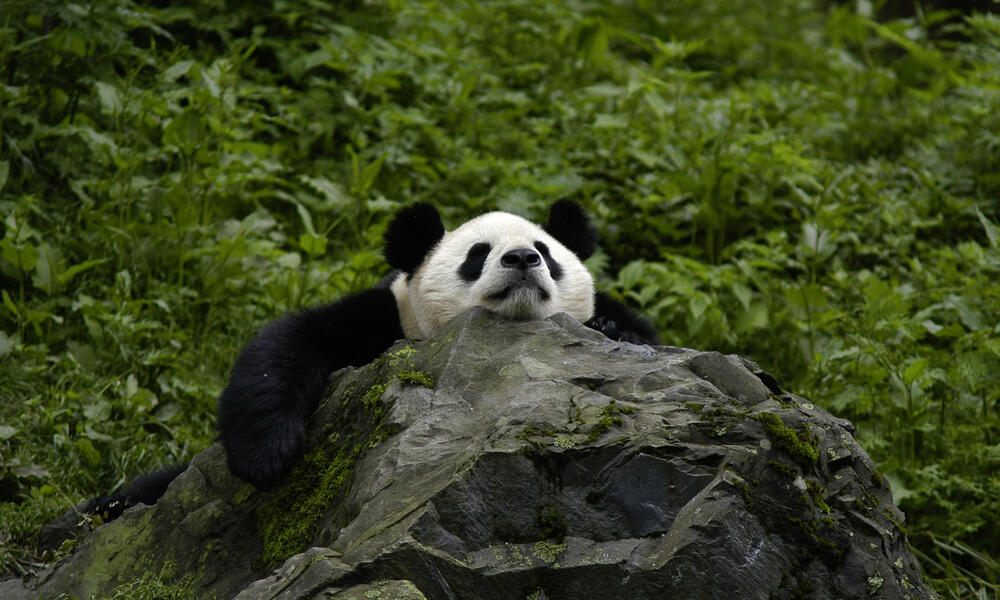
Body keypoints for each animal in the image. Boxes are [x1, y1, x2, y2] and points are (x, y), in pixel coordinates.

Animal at [84, 201, 656, 518]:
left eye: (547, 251)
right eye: (477, 255)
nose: (521, 259)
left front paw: (612, 331)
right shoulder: (387, 321)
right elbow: (289, 343)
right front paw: (269, 454)